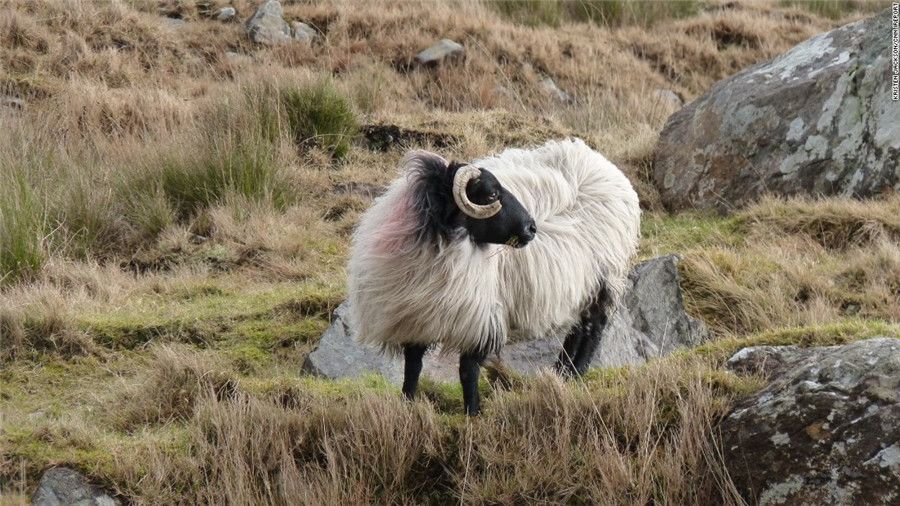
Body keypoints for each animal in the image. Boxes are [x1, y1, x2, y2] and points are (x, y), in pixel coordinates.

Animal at [348, 138, 644, 416]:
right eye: (491, 194)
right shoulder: (416, 320)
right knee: (577, 331)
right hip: (579, 289)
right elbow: (412, 367)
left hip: (603, 280)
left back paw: (576, 374)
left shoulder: (481, 317)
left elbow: (467, 371)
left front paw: (473, 413)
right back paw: (562, 373)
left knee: (593, 330)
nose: (531, 227)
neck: (442, 241)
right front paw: (408, 405)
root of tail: (600, 163)